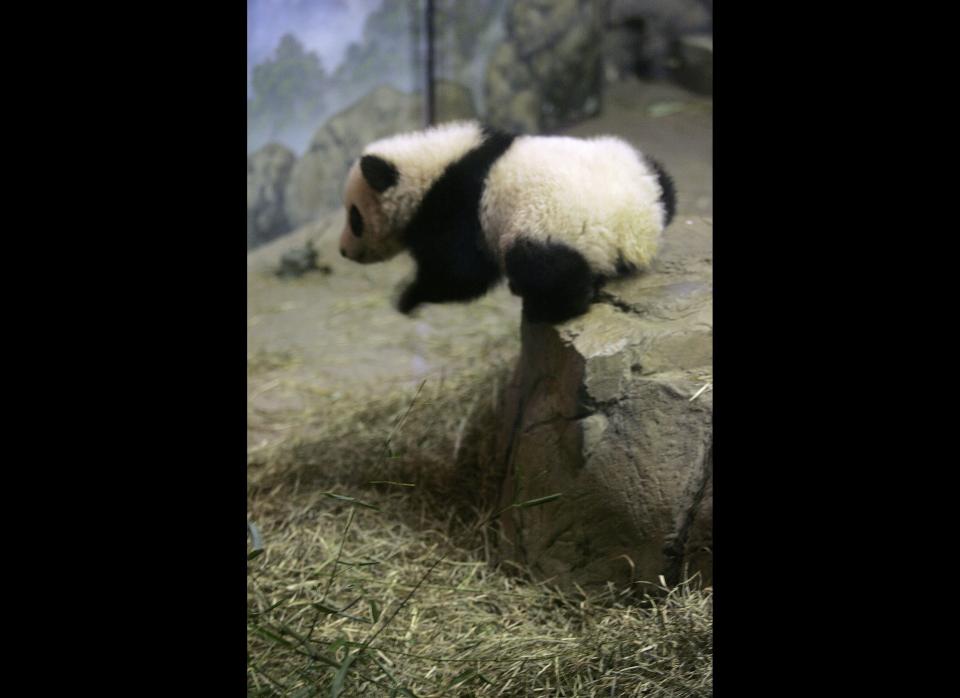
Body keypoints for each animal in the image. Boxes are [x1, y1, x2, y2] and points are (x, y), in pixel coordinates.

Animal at [338, 120, 676, 324]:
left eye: (354, 217)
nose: (343, 251)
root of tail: (635, 225)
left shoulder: (456, 207)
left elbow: (460, 274)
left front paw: (408, 297)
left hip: (544, 228)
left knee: (548, 271)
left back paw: (546, 306)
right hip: (635, 163)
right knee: (667, 186)